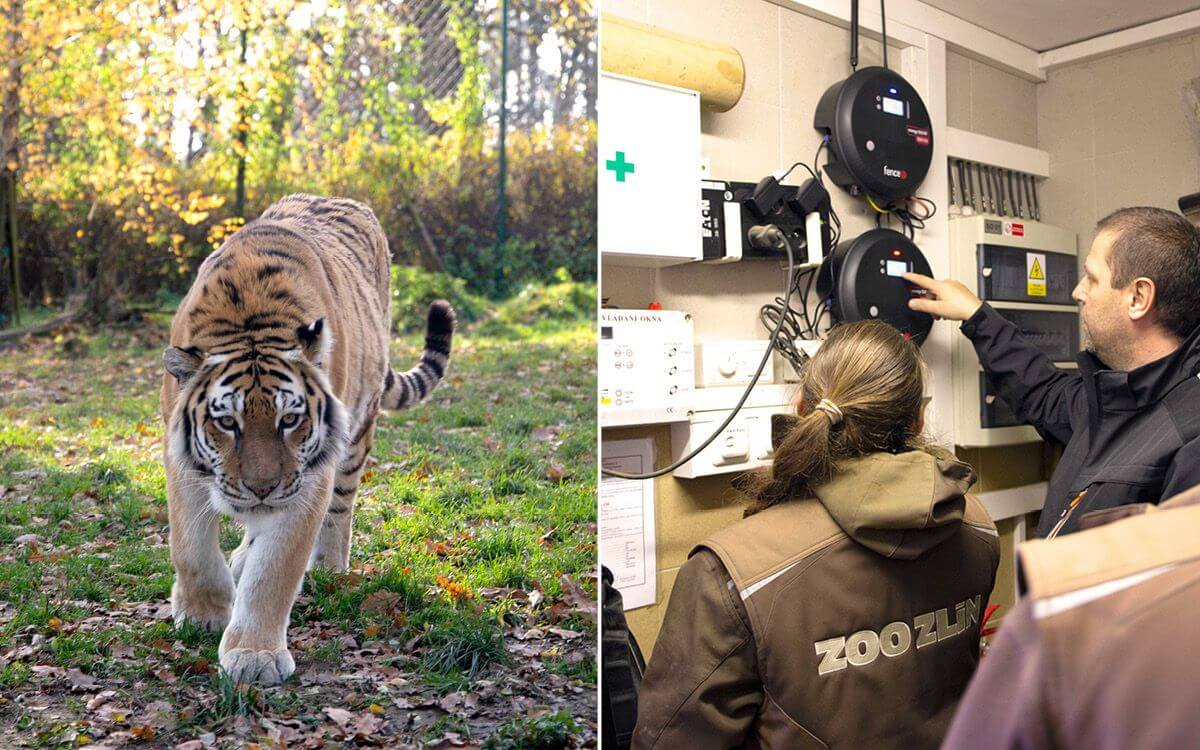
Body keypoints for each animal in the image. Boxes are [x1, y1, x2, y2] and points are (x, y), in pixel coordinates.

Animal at [162, 194, 451, 686]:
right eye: (227, 422)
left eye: (290, 419)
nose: (262, 488)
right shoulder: (181, 462)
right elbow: (192, 548)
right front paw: (201, 615)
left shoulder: (308, 480)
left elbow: (274, 570)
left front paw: (253, 655)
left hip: (356, 435)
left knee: (341, 509)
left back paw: (329, 568)